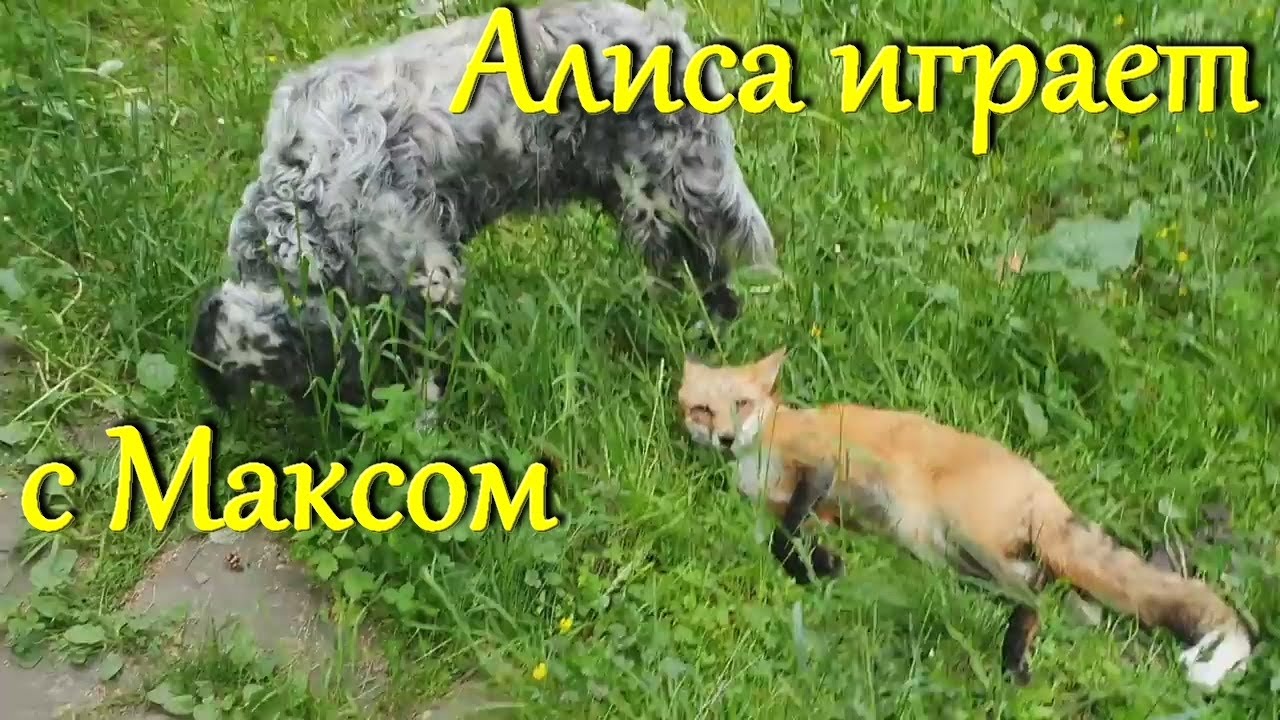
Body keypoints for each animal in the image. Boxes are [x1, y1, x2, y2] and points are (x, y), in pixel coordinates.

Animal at [676, 347, 1255, 690]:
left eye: (742, 403)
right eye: (702, 409)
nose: (723, 438)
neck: (762, 450)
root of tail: (1045, 486)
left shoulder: (820, 467)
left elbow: (784, 534)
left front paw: (817, 568)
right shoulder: (808, 509)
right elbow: (789, 537)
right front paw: (817, 567)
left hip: (963, 535)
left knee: (1032, 592)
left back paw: (1012, 656)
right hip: (948, 554)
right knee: (1036, 584)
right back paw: (1022, 643)